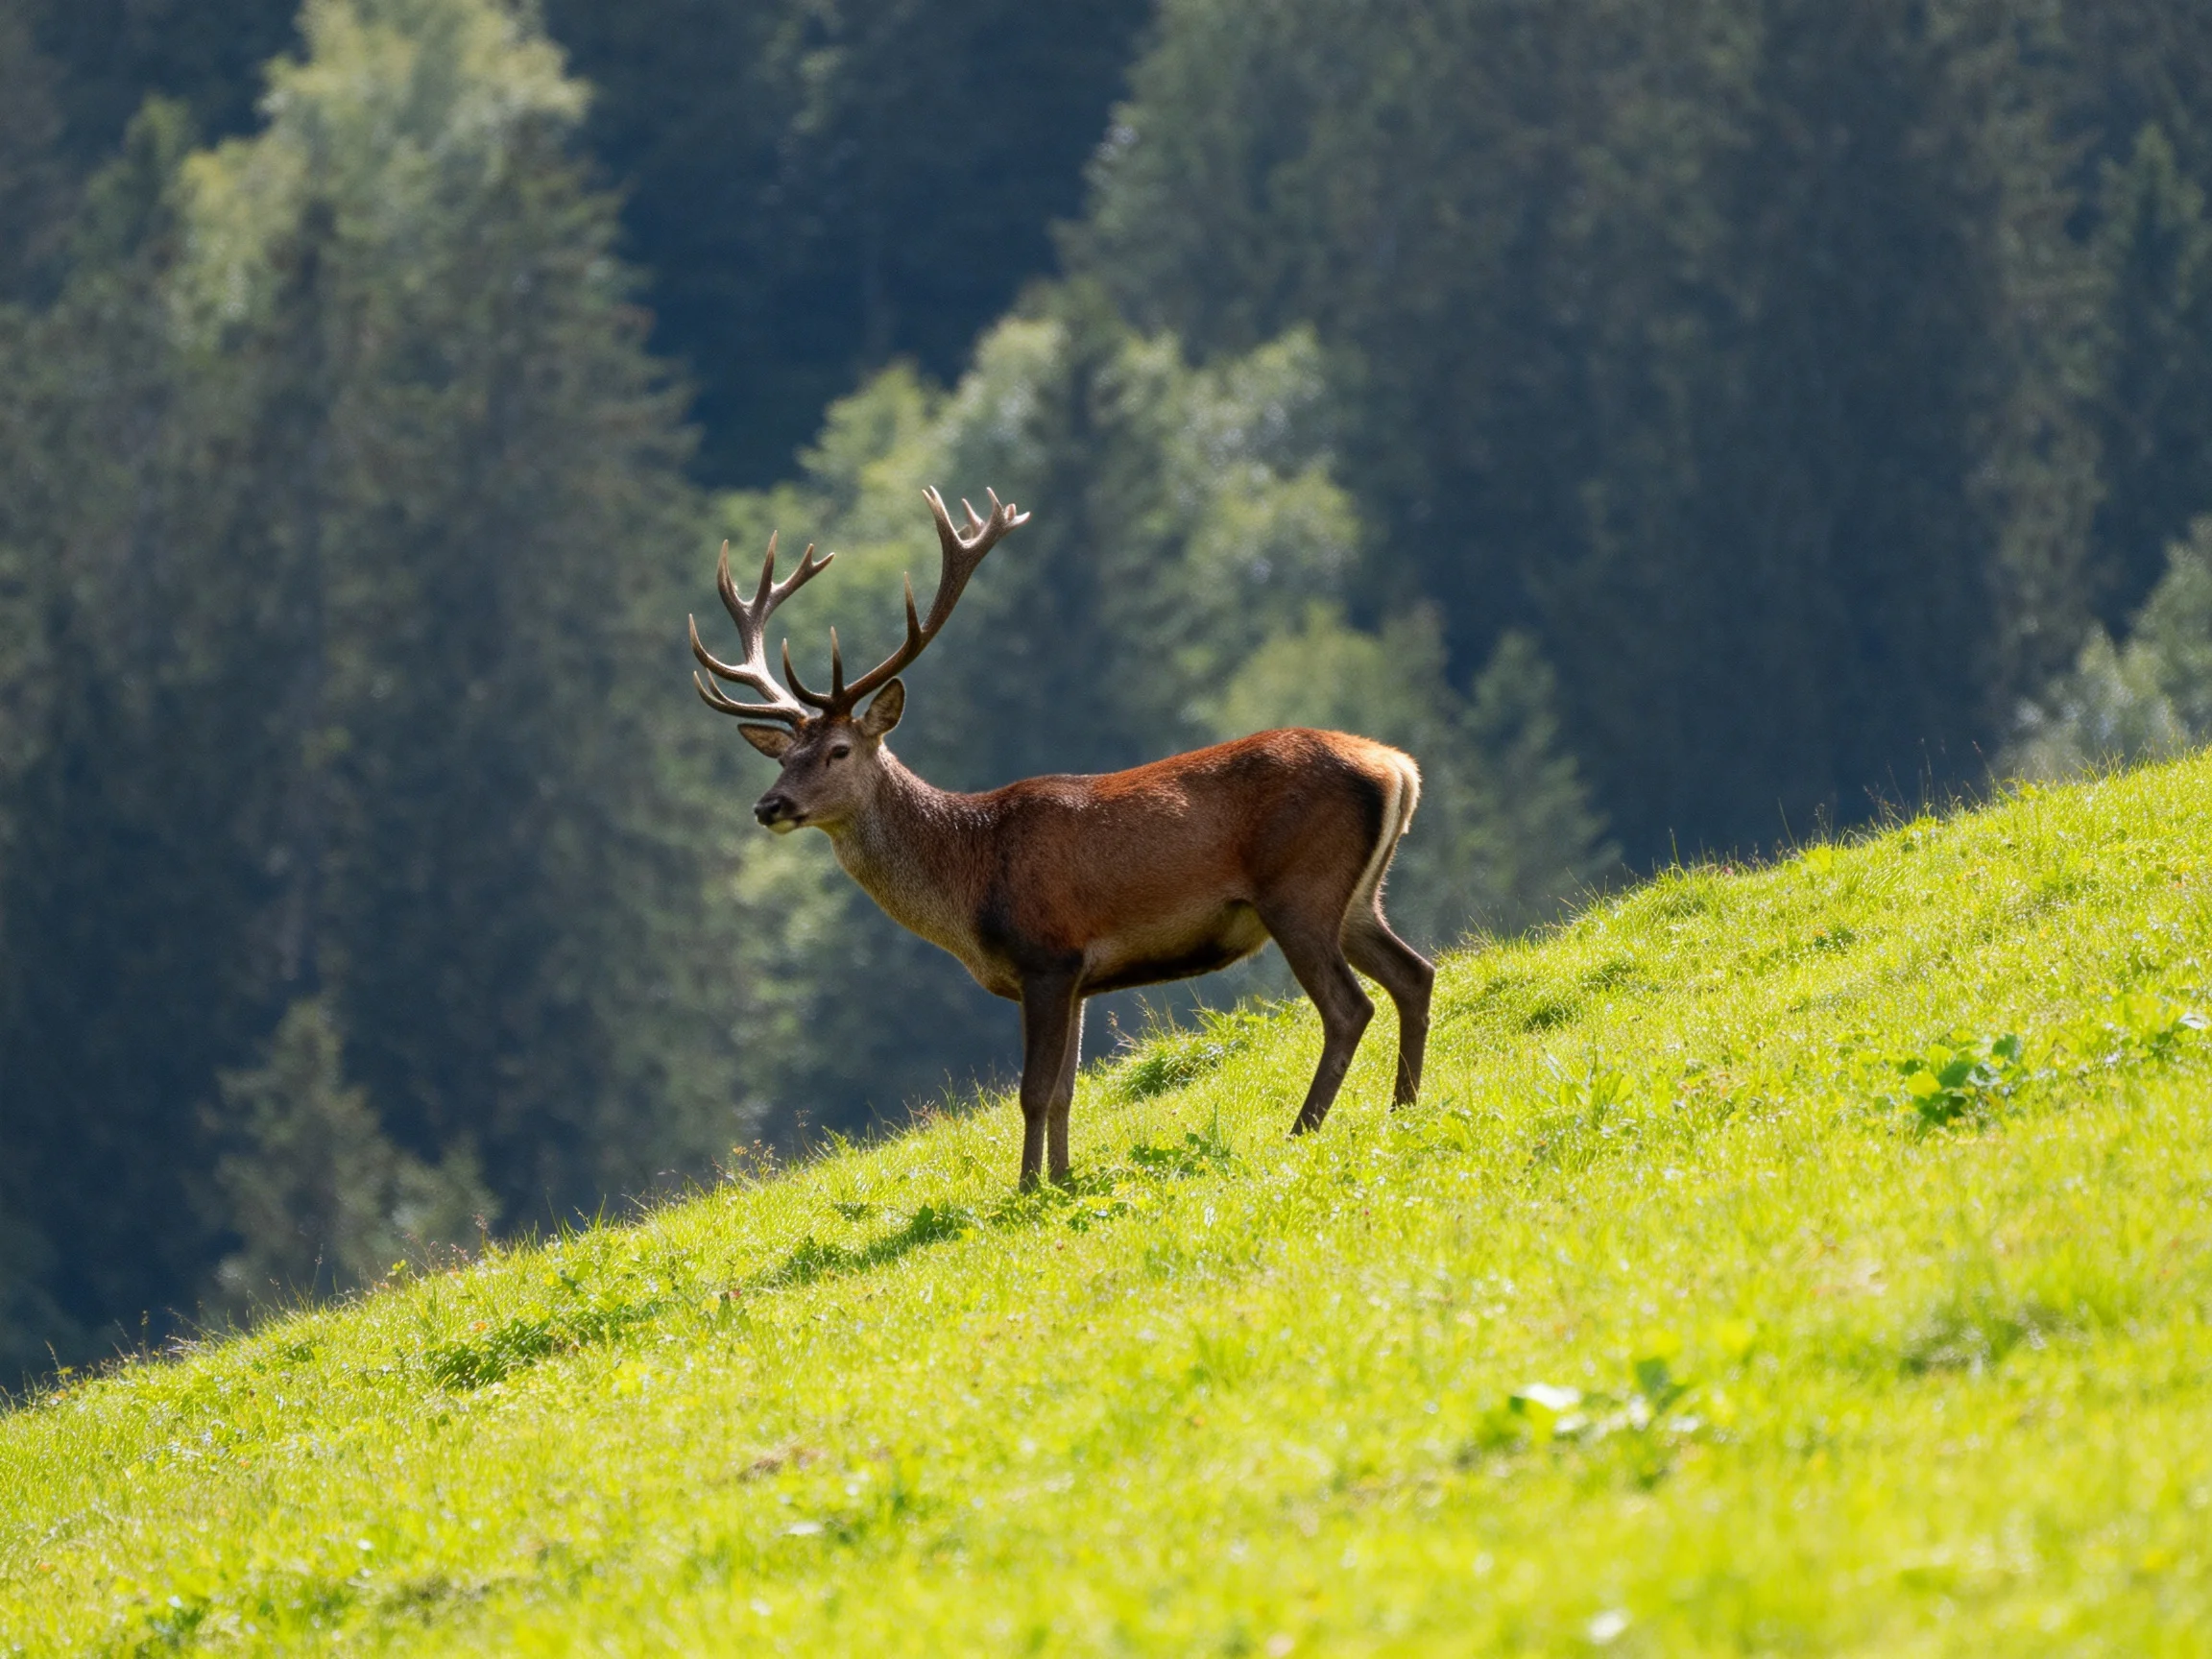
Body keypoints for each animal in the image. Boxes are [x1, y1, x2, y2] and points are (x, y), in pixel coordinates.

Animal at [690, 486, 1435, 1189]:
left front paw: (1025, 1190)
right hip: (1356, 898)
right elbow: (1066, 1094)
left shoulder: (1047, 955)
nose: (769, 806)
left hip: (1298, 888)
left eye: (838, 751)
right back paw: (1403, 1107)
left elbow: (1033, 1091)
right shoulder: (1078, 974)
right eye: (783, 757)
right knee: (1415, 974)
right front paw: (1062, 1178)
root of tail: (1397, 766)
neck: (970, 882)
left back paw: (1303, 1128)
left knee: (1349, 1006)